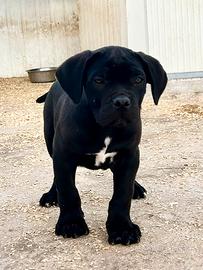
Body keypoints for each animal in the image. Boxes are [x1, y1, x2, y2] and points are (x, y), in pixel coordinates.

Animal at [36, 46, 168, 245]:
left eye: (138, 80)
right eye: (99, 81)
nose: (122, 102)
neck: (106, 128)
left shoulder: (129, 155)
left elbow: (122, 193)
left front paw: (122, 228)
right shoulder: (64, 156)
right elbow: (68, 190)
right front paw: (71, 223)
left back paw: (136, 188)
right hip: (51, 143)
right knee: (56, 177)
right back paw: (52, 196)